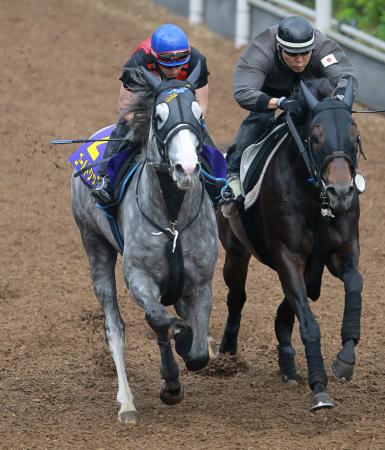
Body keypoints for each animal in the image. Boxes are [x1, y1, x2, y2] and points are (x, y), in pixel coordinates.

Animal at [71, 65, 218, 424]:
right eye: (160, 116)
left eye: (199, 115)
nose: (187, 168)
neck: (172, 221)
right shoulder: (139, 277)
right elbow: (159, 321)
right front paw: (171, 384)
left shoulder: (202, 281)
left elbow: (198, 353)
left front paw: (192, 342)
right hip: (94, 246)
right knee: (115, 328)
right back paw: (127, 403)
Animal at [219, 78, 364, 412]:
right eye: (316, 137)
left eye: (354, 135)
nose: (341, 193)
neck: (315, 201)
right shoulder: (288, 257)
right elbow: (309, 323)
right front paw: (320, 389)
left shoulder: (341, 252)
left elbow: (355, 284)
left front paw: (344, 360)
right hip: (235, 252)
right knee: (237, 298)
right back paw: (226, 351)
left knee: (286, 309)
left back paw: (286, 361)